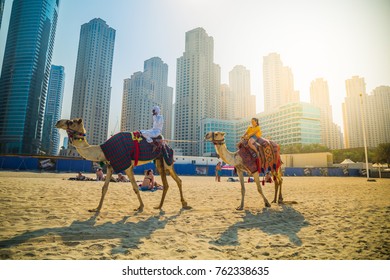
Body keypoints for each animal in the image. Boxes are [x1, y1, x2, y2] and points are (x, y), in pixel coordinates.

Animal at [55, 118, 190, 212]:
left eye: (71, 122)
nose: (58, 122)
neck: (103, 150)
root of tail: (166, 142)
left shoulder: (126, 165)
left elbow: (135, 187)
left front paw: (140, 207)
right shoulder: (110, 166)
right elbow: (104, 188)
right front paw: (96, 209)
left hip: (166, 160)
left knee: (175, 181)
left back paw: (179, 204)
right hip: (159, 161)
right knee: (170, 182)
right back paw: (164, 205)